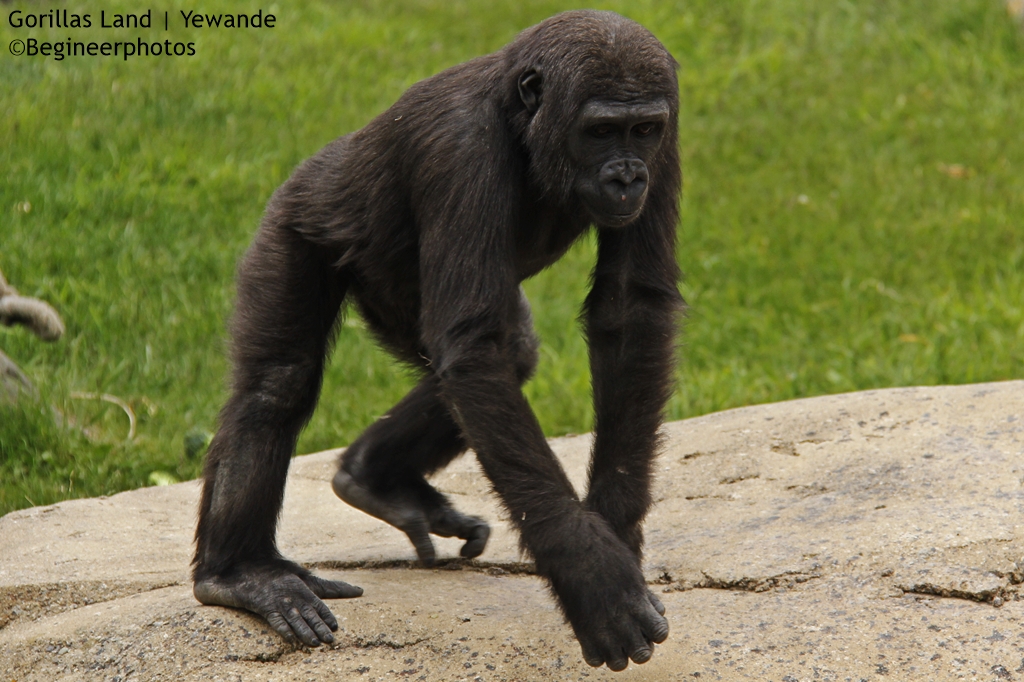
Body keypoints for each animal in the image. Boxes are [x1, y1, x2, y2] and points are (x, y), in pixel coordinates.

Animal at [193, 10, 682, 671]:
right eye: (601, 132)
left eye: (643, 129)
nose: (629, 175)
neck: (522, 122)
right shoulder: (462, 150)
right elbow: (475, 353)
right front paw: (592, 574)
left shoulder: (669, 133)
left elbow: (628, 310)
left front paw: (616, 533)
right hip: (296, 221)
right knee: (276, 385)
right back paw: (240, 572)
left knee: (509, 353)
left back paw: (375, 478)